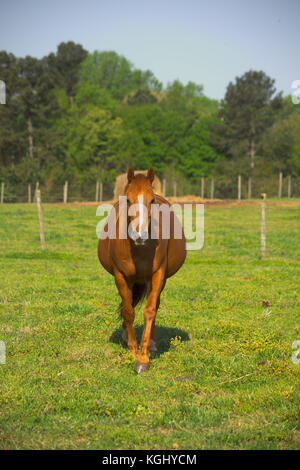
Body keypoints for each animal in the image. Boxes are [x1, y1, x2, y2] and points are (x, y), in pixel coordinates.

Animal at [98, 167, 185, 372]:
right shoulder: (121, 276)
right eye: (127, 200)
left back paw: (151, 344)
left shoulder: (158, 275)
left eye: (151, 200)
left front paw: (143, 358)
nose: (140, 235)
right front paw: (132, 351)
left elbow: (150, 310)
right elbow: (129, 311)